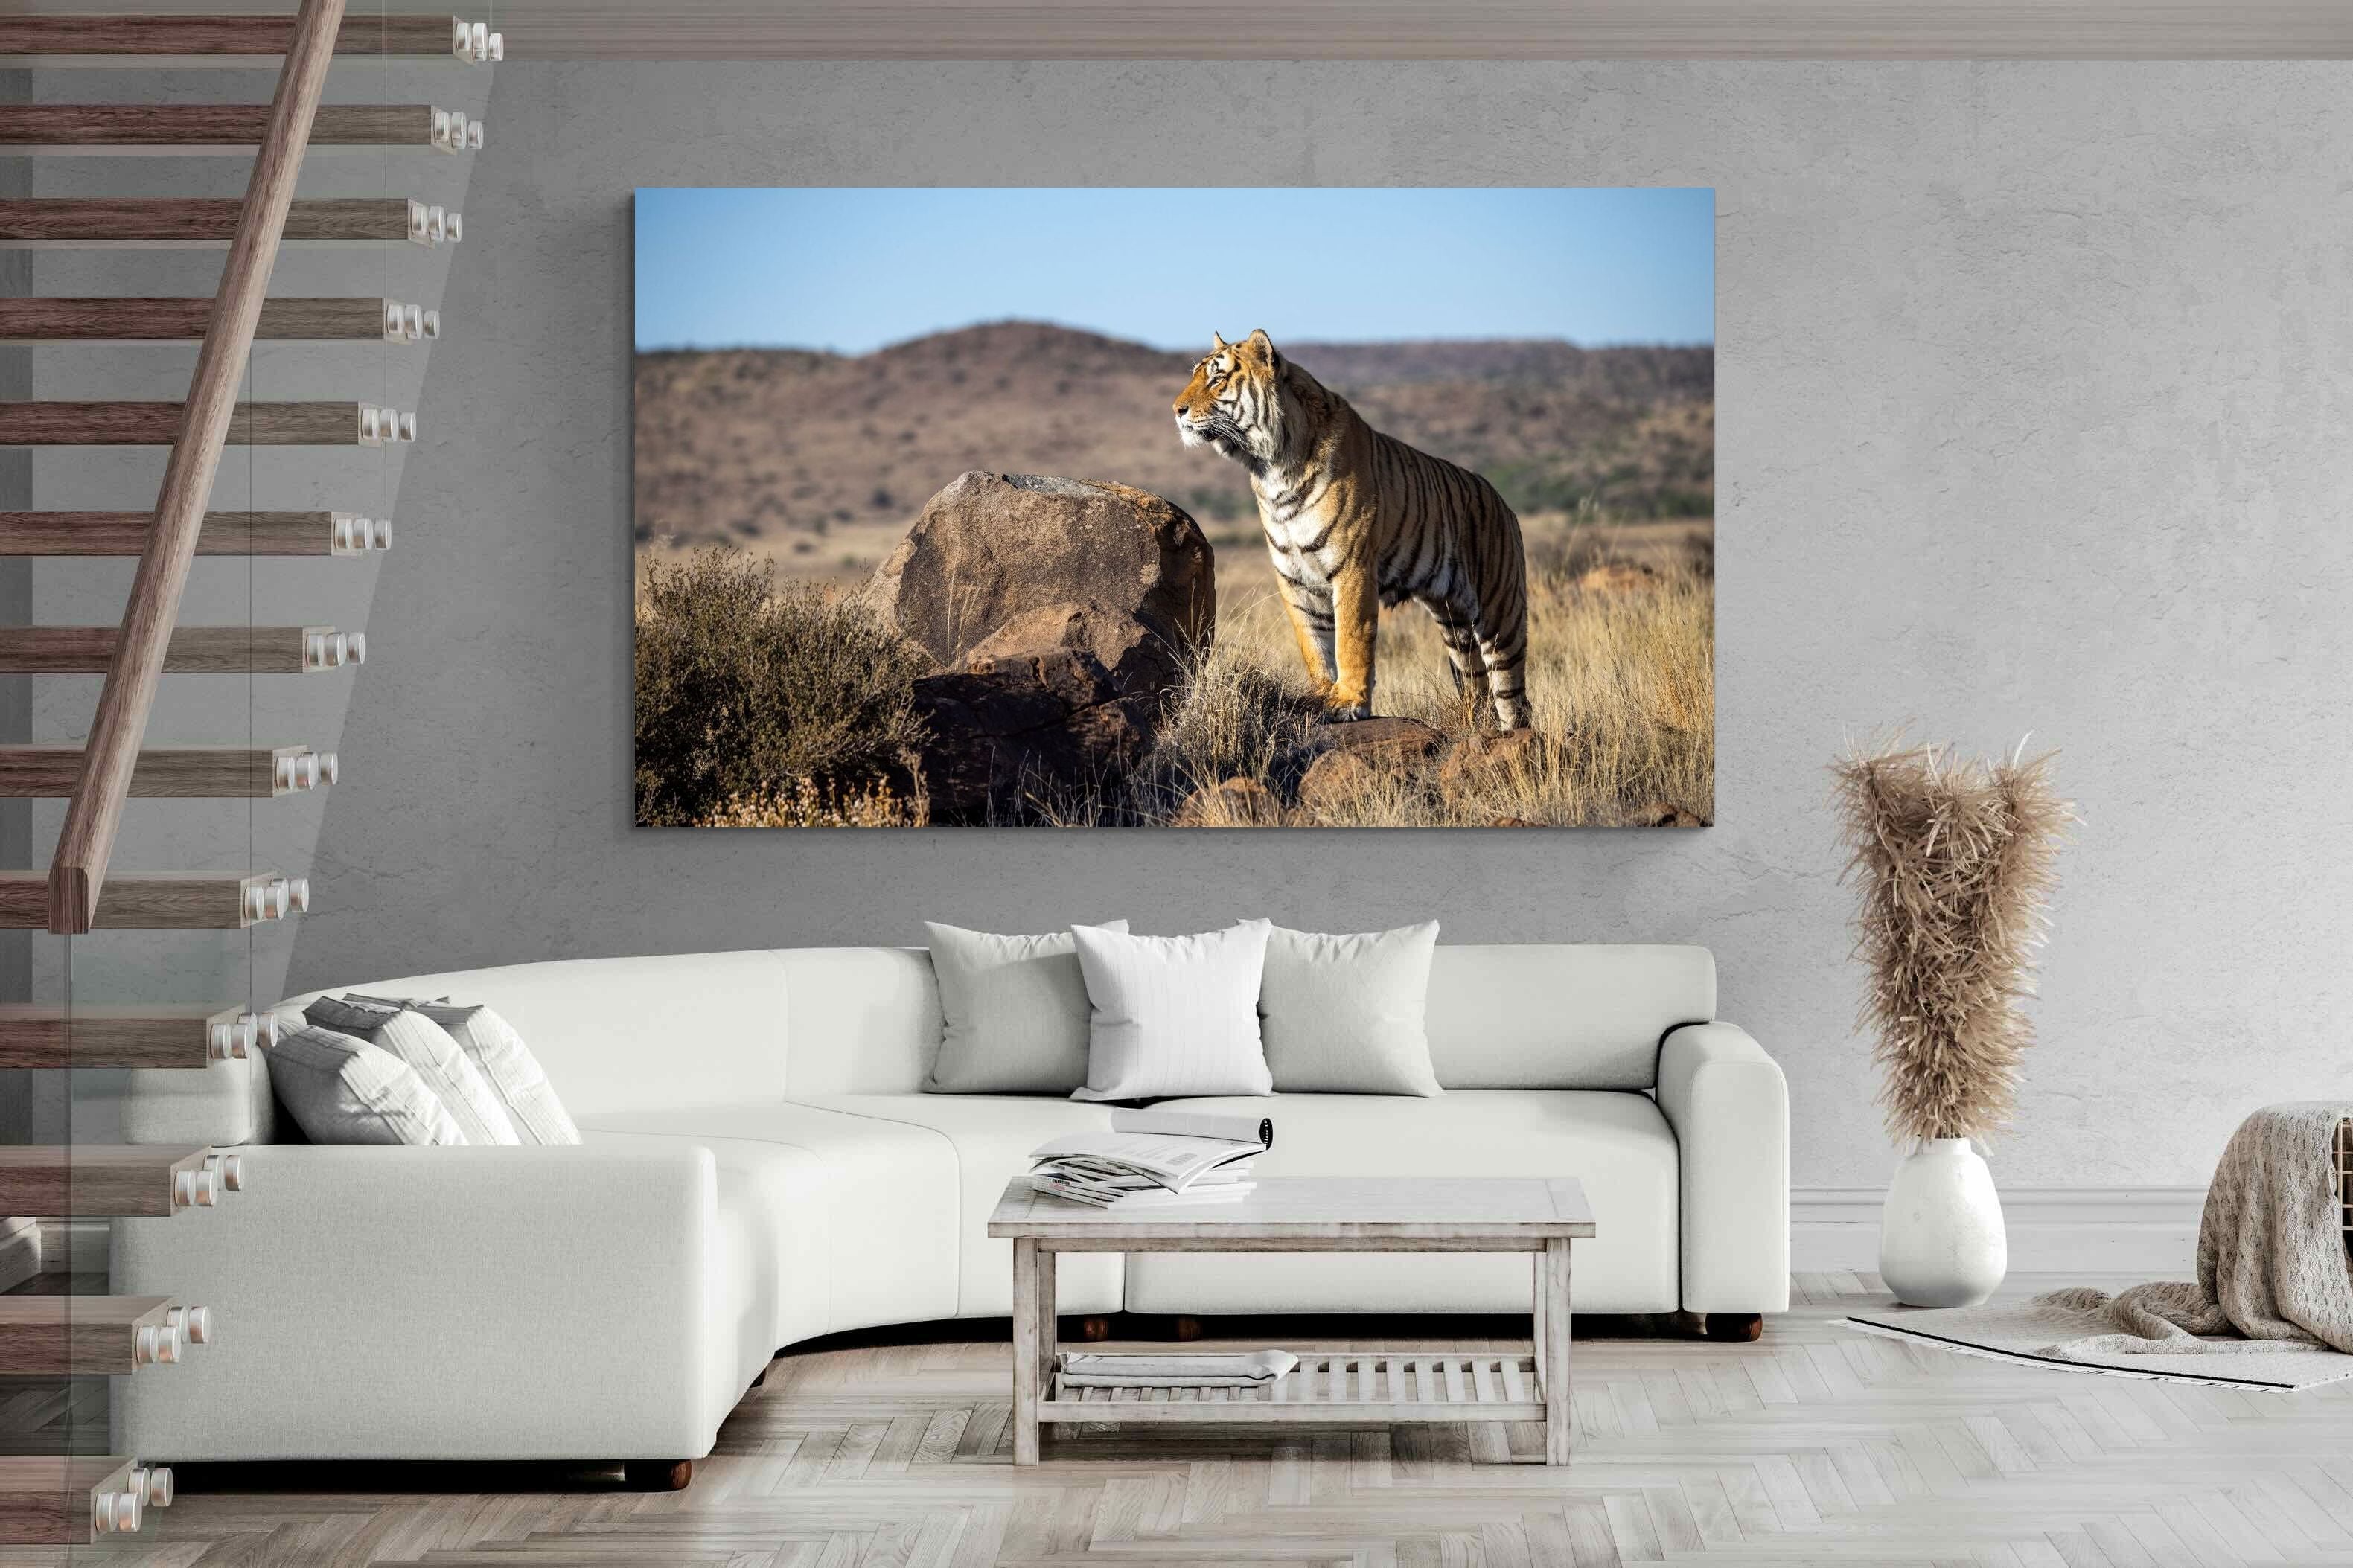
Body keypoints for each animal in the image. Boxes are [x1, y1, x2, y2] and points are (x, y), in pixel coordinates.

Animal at [1173, 329, 1530, 730]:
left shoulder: (1352, 567)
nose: (1176, 410)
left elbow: (1351, 639)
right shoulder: (1294, 577)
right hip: (1455, 627)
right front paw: (1320, 696)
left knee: (1514, 697)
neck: (1271, 469)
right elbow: (1314, 644)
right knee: (1477, 689)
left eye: (1217, 378)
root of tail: (1503, 502)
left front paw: (1348, 702)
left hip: (1500, 615)